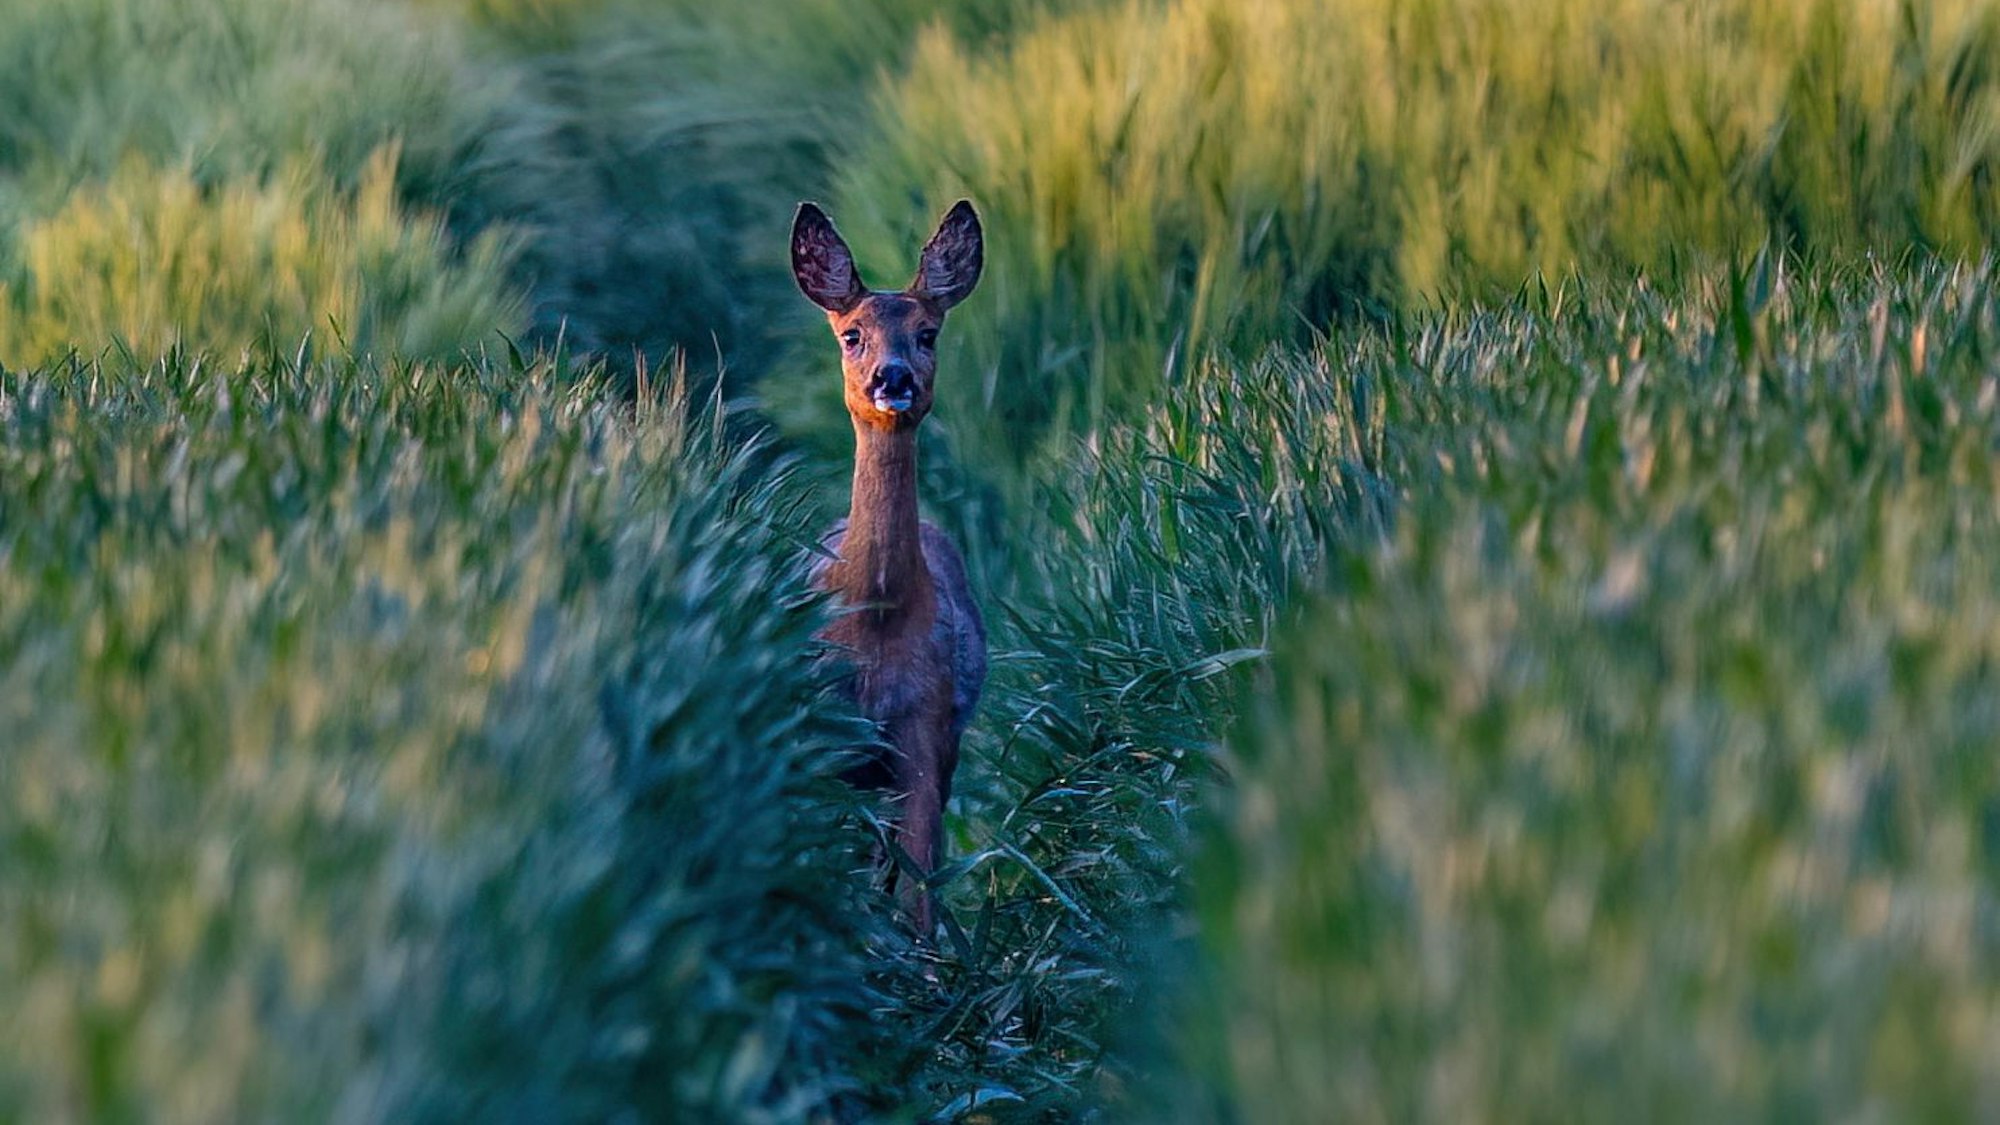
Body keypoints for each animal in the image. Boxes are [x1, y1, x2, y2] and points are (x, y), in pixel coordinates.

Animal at [791, 199, 987, 938]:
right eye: (852, 335)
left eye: (928, 333)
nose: (893, 377)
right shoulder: (818, 732)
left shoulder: (925, 731)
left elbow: (920, 890)